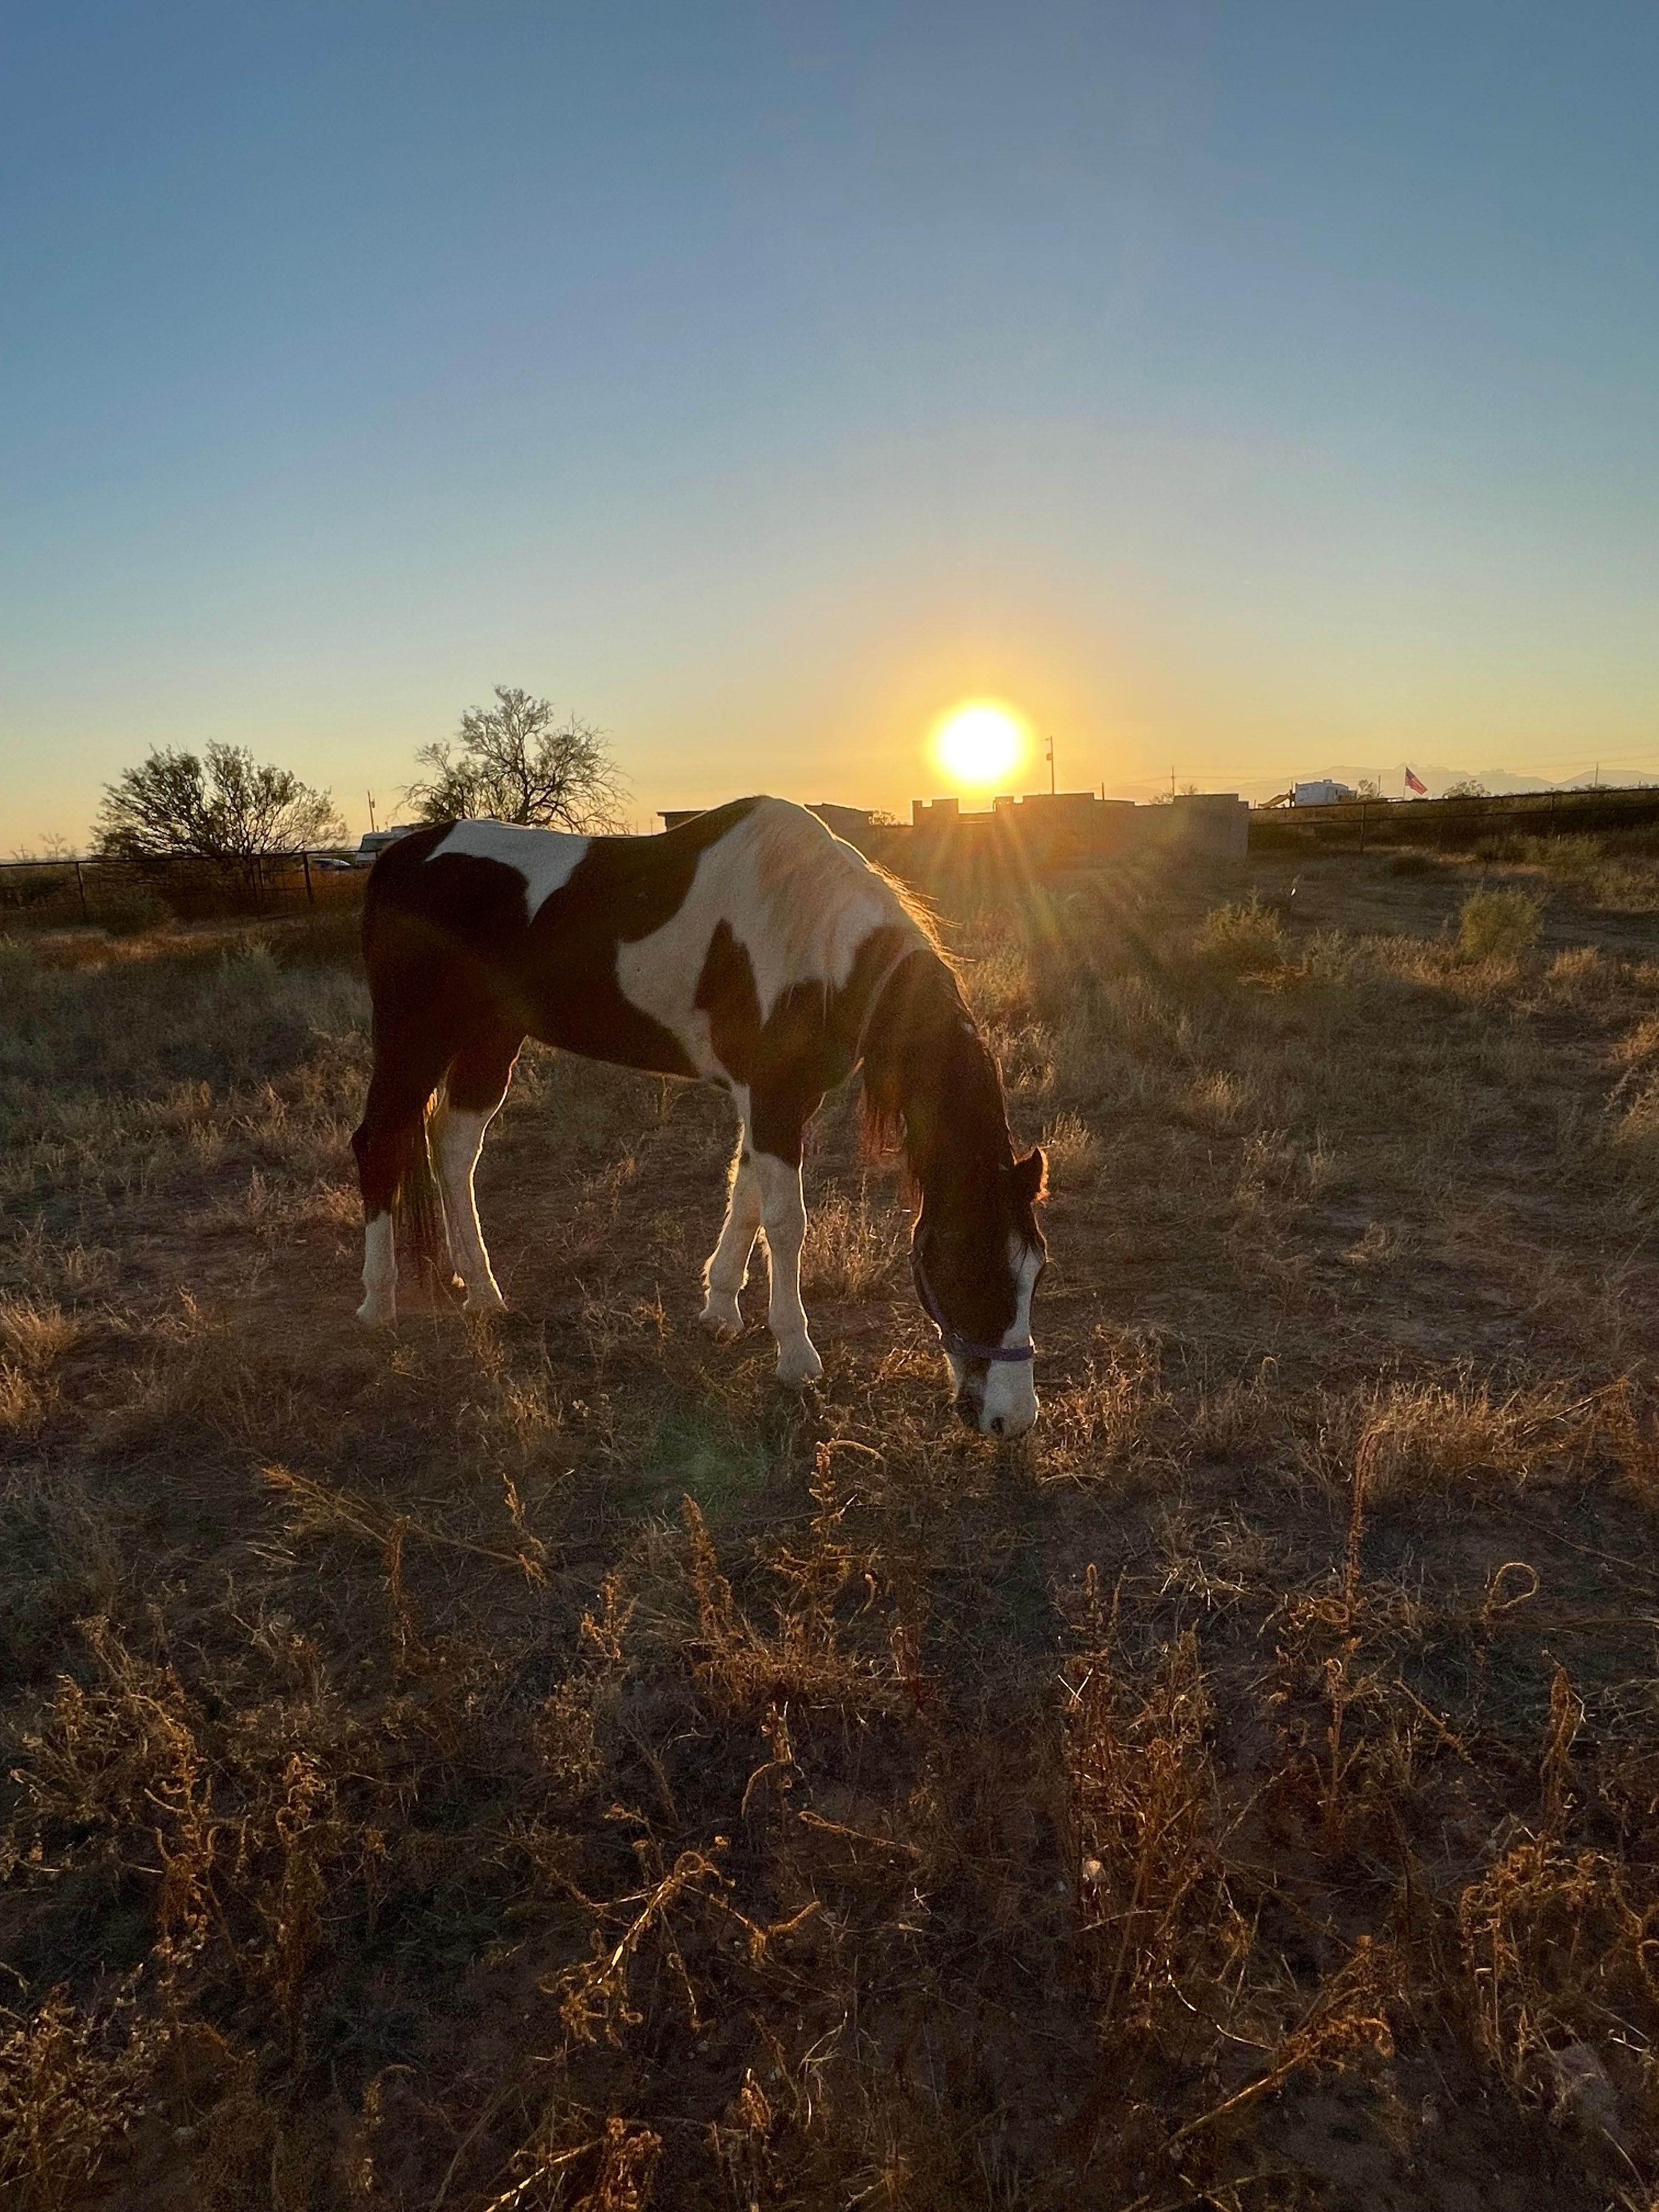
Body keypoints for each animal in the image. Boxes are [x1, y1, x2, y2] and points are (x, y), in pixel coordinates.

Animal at [350, 796, 1047, 1436]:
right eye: (969, 1266)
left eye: (1035, 1270)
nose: (1011, 1420)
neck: (818, 944)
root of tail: (400, 857)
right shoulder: (772, 1099)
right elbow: (785, 1224)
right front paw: (796, 1356)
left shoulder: (774, 1101)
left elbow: (745, 1199)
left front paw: (720, 1310)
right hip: (414, 1039)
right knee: (379, 1142)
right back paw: (378, 1302)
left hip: (490, 1040)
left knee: (454, 1148)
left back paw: (483, 1292)